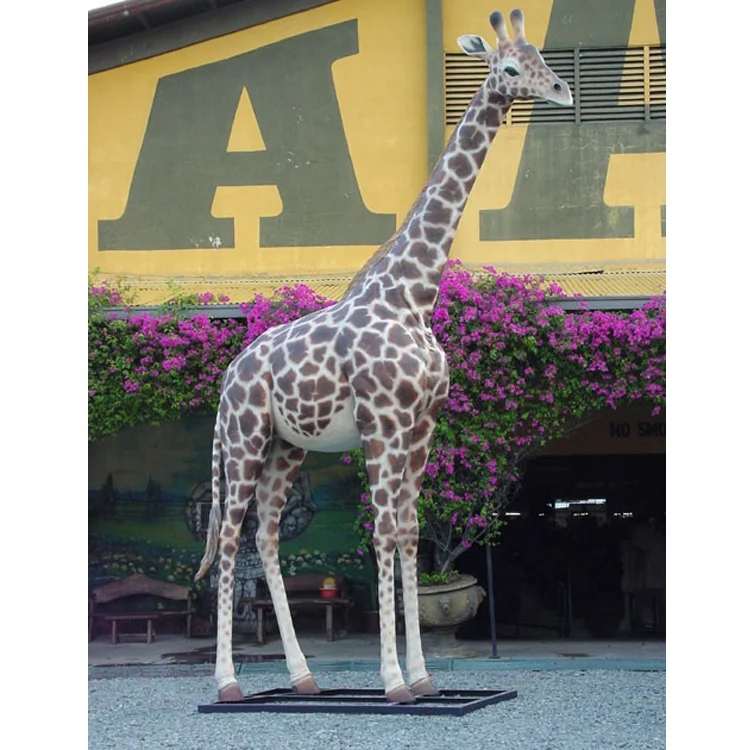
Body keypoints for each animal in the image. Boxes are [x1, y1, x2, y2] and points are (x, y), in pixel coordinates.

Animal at [195, 8, 573, 704]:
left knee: (265, 535)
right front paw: (394, 681)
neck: (414, 293)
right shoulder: (382, 422)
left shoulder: (420, 426)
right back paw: (229, 684)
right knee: (231, 536)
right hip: (244, 439)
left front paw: (423, 677)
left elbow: (409, 531)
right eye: (510, 67)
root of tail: (230, 373)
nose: (560, 90)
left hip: (287, 447)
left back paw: (303, 677)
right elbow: (382, 533)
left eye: (541, 56)